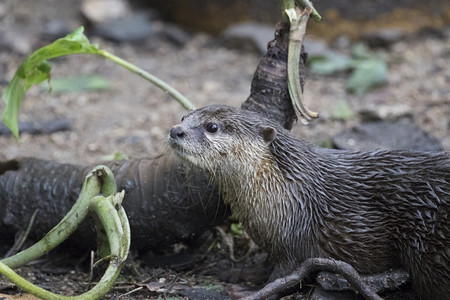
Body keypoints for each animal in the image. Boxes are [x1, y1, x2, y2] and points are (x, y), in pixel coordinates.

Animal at [168, 104, 450, 298]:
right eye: (183, 117)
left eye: (212, 126)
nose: (175, 130)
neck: (292, 194)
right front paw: (241, 272)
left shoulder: (294, 238)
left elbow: (283, 277)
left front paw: (247, 291)